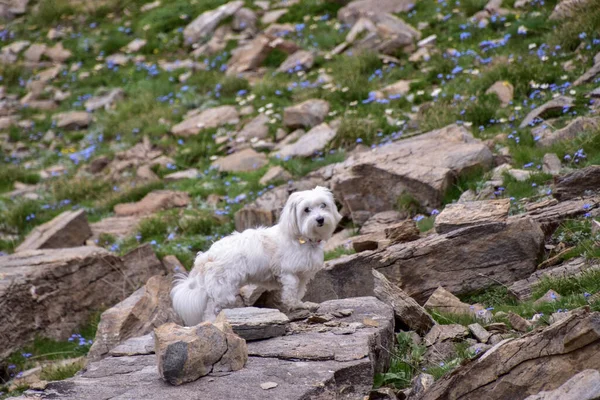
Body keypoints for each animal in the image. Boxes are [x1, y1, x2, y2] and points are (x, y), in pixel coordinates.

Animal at [173, 186, 342, 326]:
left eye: (323, 205)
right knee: (210, 309)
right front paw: (293, 306)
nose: (320, 219)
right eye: (306, 210)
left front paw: (301, 304)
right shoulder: (289, 274)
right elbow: (290, 293)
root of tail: (207, 255)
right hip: (223, 288)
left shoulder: (302, 275)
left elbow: (299, 291)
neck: (302, 238)